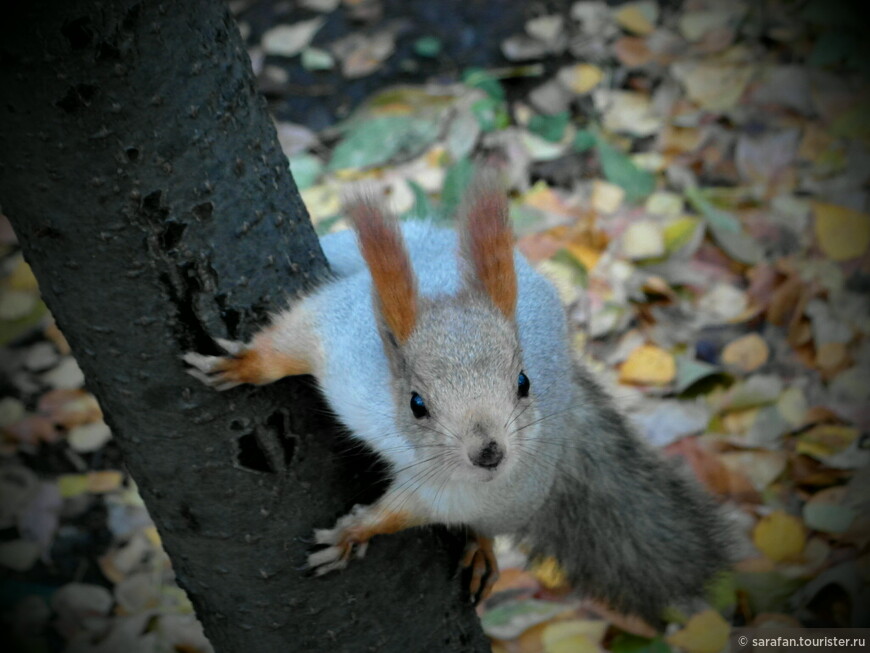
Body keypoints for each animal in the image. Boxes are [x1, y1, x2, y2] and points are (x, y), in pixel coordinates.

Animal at [186, 173, 736, 628]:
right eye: (417, 404)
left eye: (523, 383)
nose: (489, 453)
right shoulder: (340, 339)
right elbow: (291, 342)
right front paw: (242, 365)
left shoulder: (464, 488)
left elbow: (411, 508)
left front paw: (355, 532)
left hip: (518, 494)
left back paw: (481, 548)